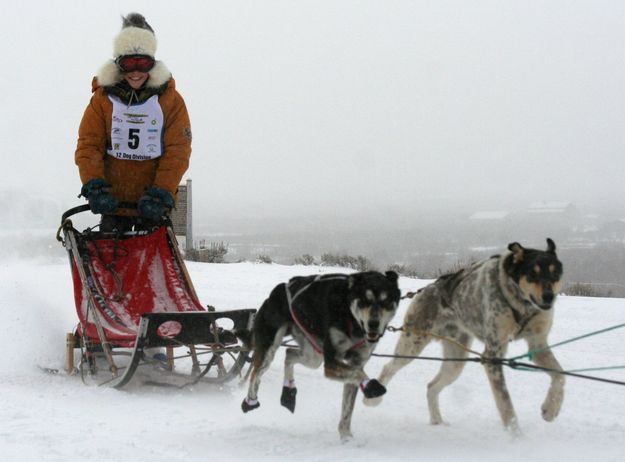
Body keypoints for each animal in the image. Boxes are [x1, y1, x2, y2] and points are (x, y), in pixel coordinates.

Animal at [239, 270, 400, 440]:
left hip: (313, 355)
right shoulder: (331, 362)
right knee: (255, 374)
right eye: (364, 300)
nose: (373, 324)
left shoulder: (356, 362)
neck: (350, 318)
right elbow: (358, 375)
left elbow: (348, 407)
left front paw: (346, 437)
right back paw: (250, 401)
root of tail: (275, 292)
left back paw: (288, 393)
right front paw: (373, 389)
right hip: (270, 350)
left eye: (386, 301)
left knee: (289, 354)